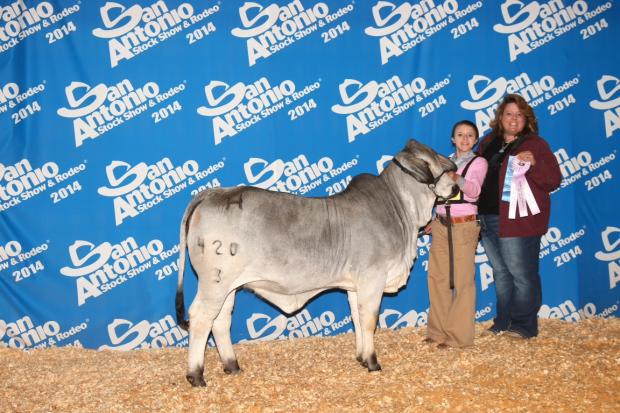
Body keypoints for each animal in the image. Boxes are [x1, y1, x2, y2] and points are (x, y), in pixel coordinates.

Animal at [177, 139, 458, 386]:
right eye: (434, 161)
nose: (456, 187)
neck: (400, 211)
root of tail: (216, 192)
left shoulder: (355, 286)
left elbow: (357, 318)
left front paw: (360, 357)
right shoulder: (373, 279)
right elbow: (369, 319)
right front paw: (372, 362)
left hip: (229, 286)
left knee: (221, 320)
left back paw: (232, 365)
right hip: (215, 282)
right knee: (201, 318)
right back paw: (196, 375)